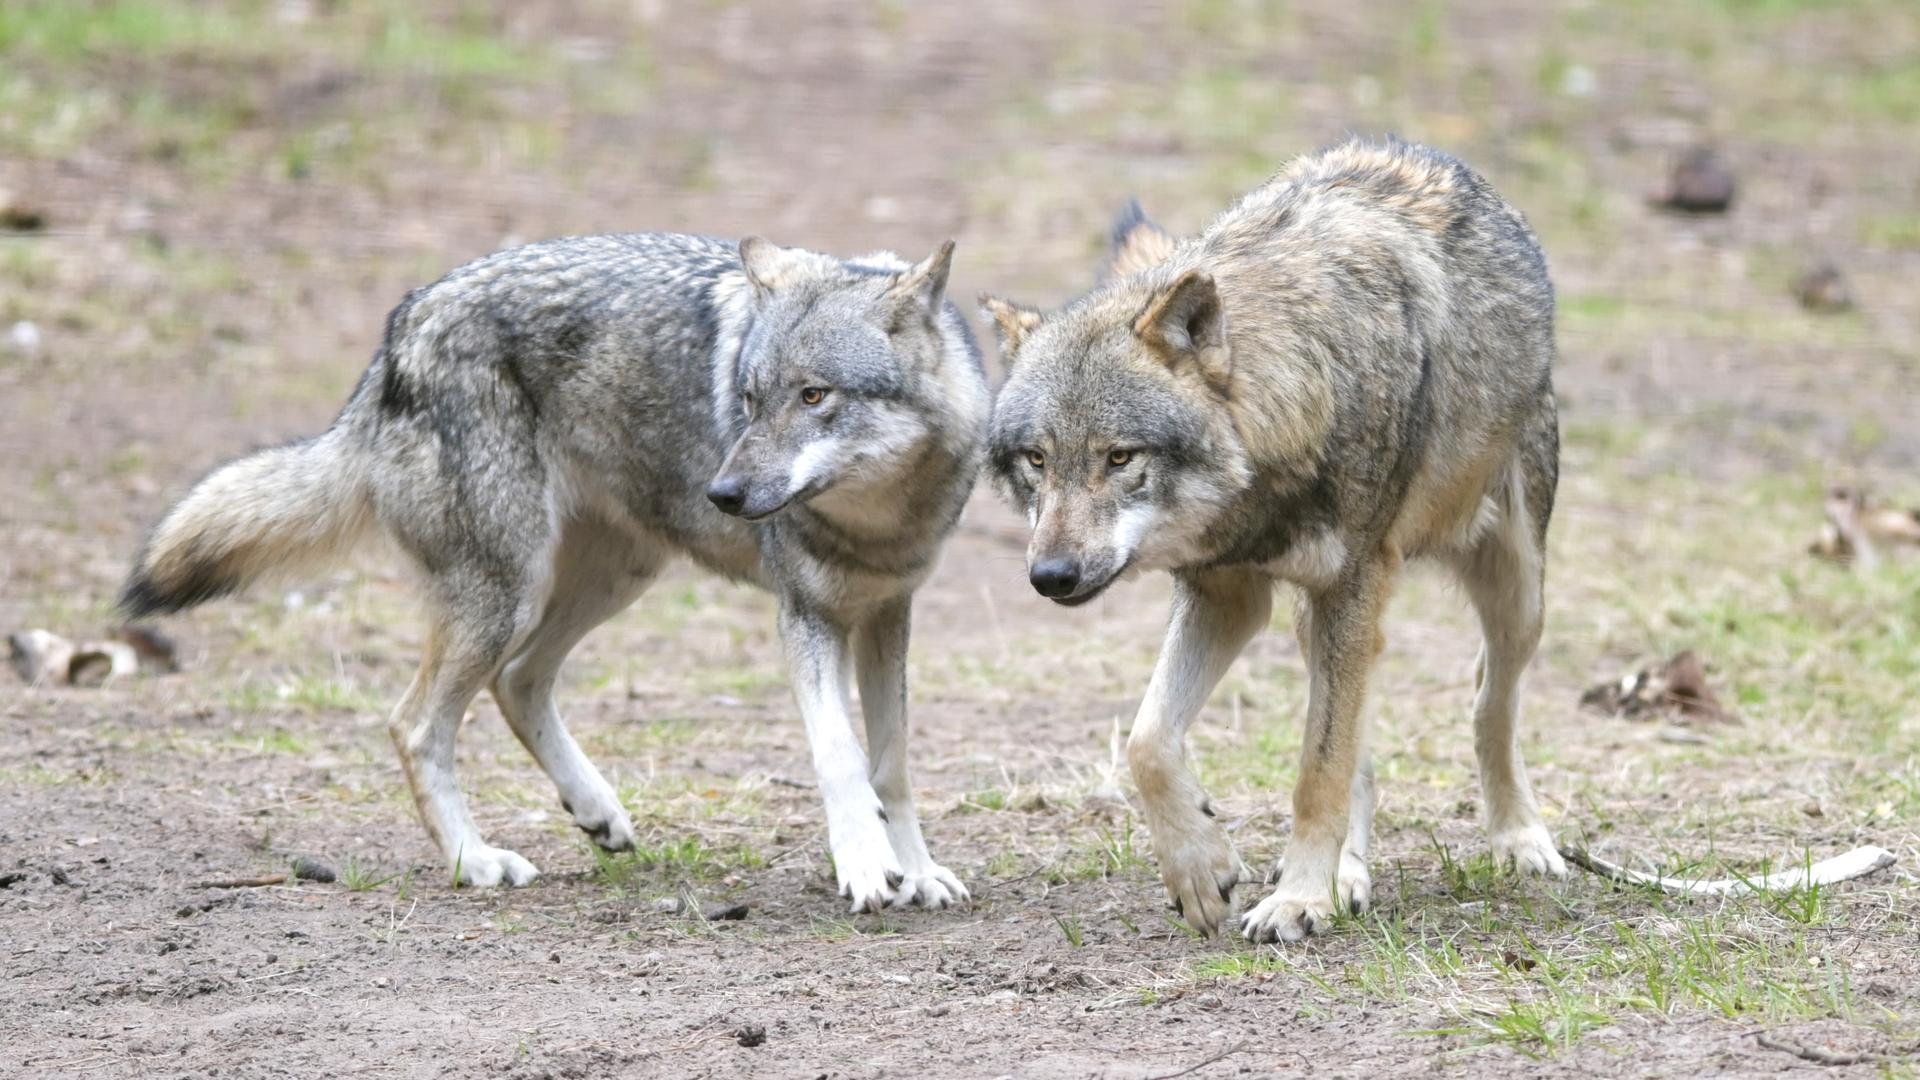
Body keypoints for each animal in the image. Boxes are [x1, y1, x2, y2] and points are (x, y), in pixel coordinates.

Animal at [121, 231, 988, 912]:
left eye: (814, 396)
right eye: (747, 399)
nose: (725, 493)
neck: (878, 521)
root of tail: (400, 330)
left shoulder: (887, 615)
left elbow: (891, 764)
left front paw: (917, 871)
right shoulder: (805, 617)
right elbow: (841, 757)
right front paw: (867, 868)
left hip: (610, 578)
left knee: (518, 681)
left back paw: (594, 811)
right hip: (507, 595)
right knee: (415, 722)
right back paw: (475, 862)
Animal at [981, 138, 1564, 942]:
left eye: (1120, 457)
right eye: (1037, 460)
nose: (1052, 576)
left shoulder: (1350, 584)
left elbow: (1318, 772)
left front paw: (1297, 899)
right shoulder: (1227, 594)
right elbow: (1147, 742)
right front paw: (1203, 870)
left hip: (1514, 592)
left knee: (1487, 701)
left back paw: (1518, 838)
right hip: (1318, 619)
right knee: (1363, 745)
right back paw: (1350, 874)